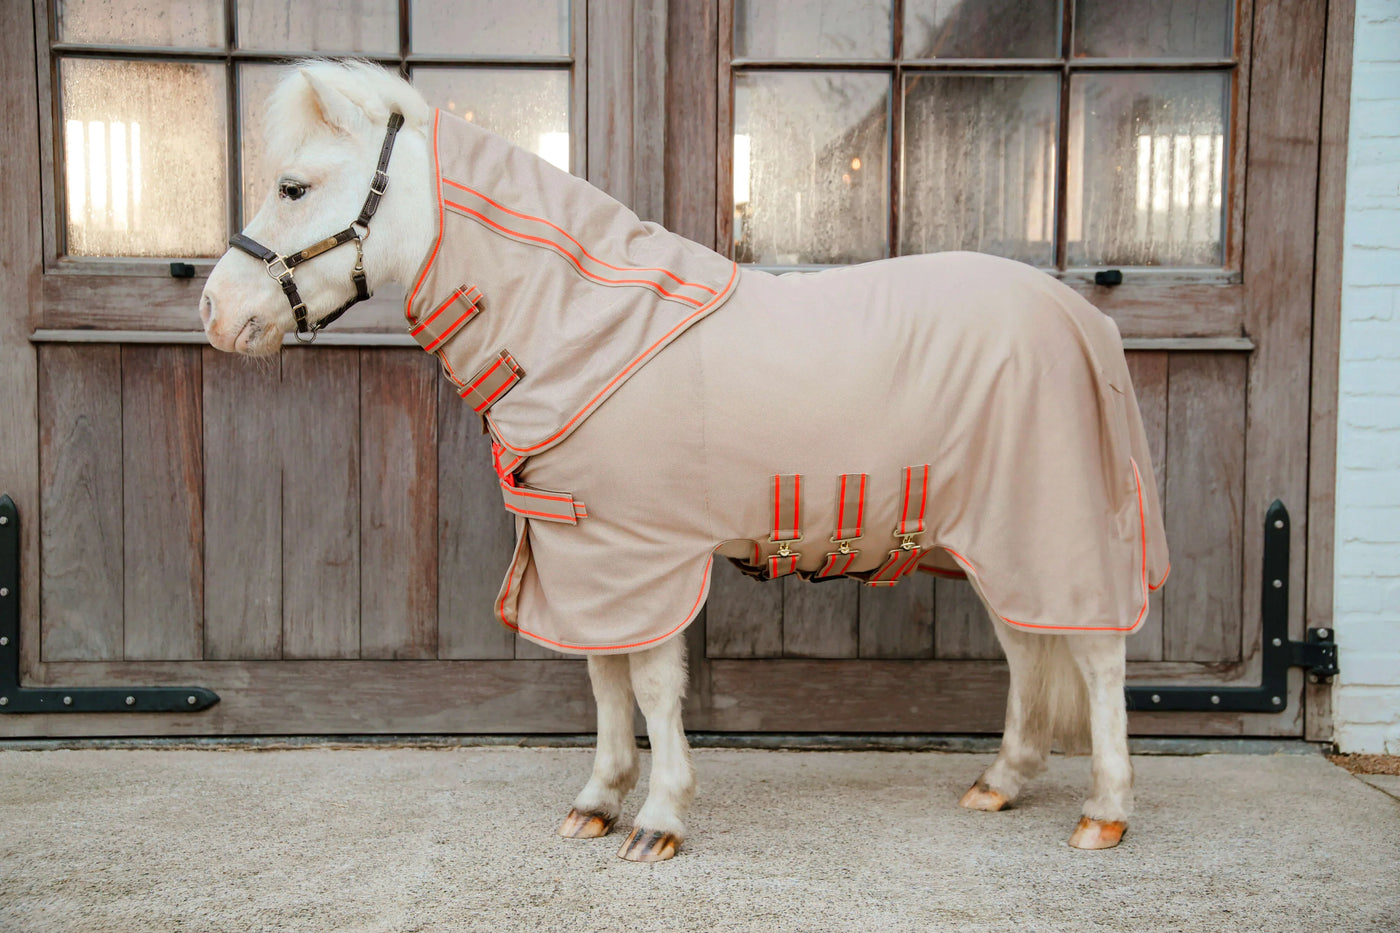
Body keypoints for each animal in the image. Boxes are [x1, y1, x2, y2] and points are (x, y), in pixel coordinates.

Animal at [201, 60, 1169, 862]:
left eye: (293, 185)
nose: (215, 311)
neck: (587, 327)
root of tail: (1083, 317)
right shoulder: (587, 557)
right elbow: (604, 678)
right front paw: (598, 800)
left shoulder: (648, 554)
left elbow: (655, 686)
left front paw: (659, 818)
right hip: (994, 540)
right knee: (1029, 647)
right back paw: (1000, 782)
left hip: (1053, 529)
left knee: (1096, 658)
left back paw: (1105, 812)